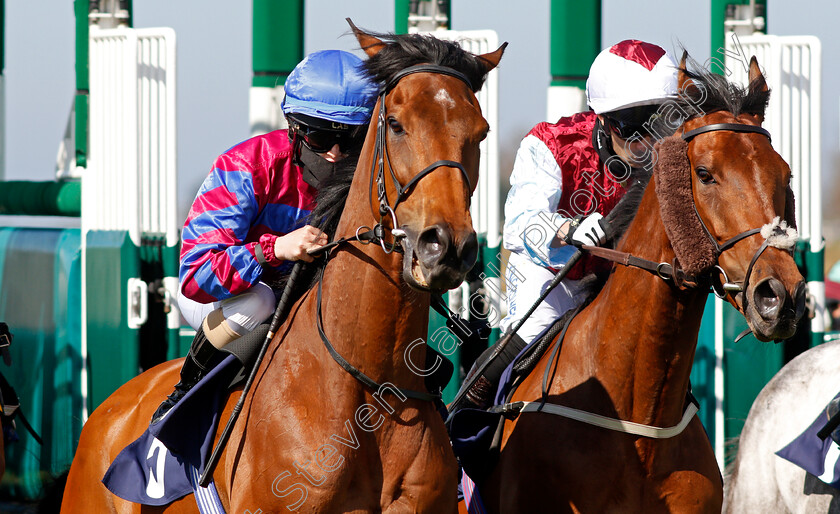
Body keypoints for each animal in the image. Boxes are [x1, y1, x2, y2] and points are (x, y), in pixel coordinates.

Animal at [62, 22, 506, 510]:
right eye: (395, 124)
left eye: (481, 132)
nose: (445, 246)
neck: (370, 388)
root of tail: (109, 409)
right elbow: (203, 259)